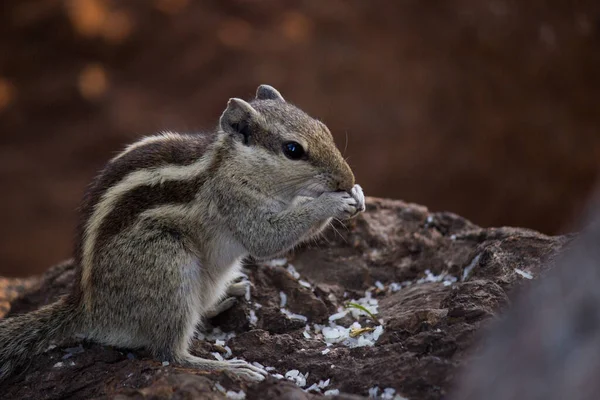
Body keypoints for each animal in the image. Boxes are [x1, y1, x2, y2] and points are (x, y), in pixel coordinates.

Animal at [0, 84, 366, 382]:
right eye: (293, 150)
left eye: (324, 129)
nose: (347, 178)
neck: (231, 166)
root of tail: (89, 309)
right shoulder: (235, 203)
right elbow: (266, 239)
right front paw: (332, 202)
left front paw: (358, 194)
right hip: (168, 263)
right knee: (168, 352)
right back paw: (230, 367)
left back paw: (227, 296)